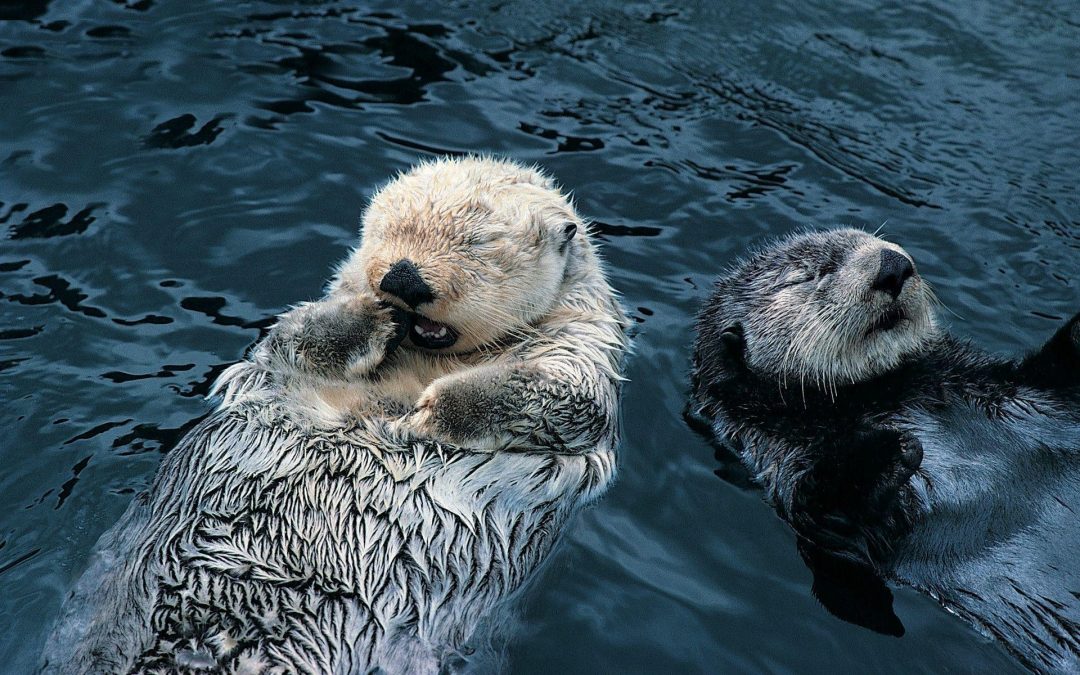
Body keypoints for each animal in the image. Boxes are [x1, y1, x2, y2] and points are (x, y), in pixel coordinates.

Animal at [43, 157, 628, 674]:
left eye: (479, 244)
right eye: (388, 229)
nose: (403, 279)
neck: (427, 361)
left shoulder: (582, 352)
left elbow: (565, 399)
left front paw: (427, 414)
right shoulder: (285, 354)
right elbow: (296, 337)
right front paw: (373, 318)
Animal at [691, 228, 1080, 673]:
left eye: (871, 238)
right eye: (809, 275)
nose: (893, 265)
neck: (883, 393)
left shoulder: (1017, 388)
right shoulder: (783, 461)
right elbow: (828, 510)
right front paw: (890, 449)